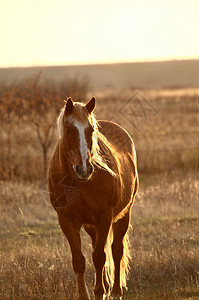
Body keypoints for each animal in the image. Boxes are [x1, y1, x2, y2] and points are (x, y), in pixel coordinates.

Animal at [48, 96, 138, 300]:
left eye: (91, 130)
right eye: (69, 130)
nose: (84, 169)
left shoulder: (105, 217)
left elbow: (99, 257)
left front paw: (100, 292)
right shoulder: (66, 220)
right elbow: (79, 260)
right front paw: (88, 294)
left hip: (123, 216)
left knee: (115, 250)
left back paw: (115, 291)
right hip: (91, 225)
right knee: (99, 246)